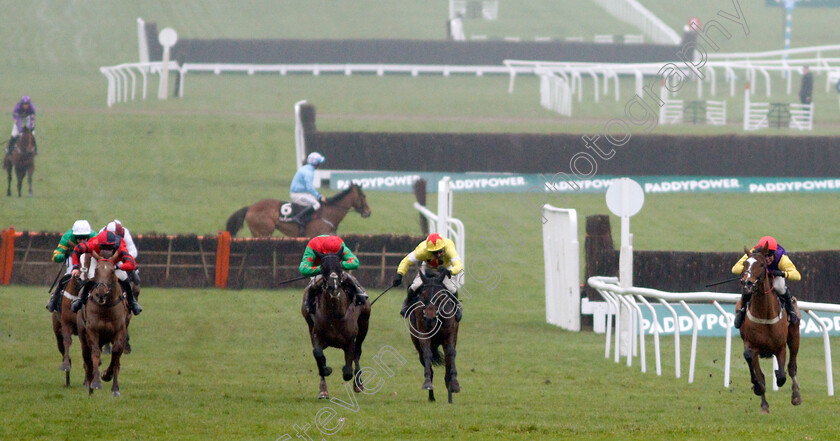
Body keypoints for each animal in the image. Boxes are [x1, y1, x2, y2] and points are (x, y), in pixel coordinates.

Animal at [78, 254, 130, 396]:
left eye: (112, 271)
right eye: (96, 271)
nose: (101, 293)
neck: (106, 308)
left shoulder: (120, 332)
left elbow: (116, 353)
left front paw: (112, 383)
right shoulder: (93, 331)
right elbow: (95, 353)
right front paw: (96, 382)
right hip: (83, 337)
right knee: (87, 358)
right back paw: (90, 387)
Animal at [300, 251, 370, 398]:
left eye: (339, 267)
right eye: (323, 268)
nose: (334, 287)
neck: (335, 315)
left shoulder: (350, 340)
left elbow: (348, 369)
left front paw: (353, 378)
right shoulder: (316, 334)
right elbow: (318, 354)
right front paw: (326, 371)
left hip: (364, 324)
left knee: (358, 351)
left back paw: (358, 383)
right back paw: (323, 389)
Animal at [406, 268, 460, 402]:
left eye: (440, 297)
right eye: (423, 295)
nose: (430, 319)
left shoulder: (450, 334)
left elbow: (451, 353)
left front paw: (455, 384)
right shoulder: (423, 335)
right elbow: (427, 354)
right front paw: (427, 383)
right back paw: (431, 396)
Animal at [740, 244, 804, 412]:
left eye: (762, 264)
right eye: (745, 264)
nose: (747, 283)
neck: (765, 314)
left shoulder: (780, 347)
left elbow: (782, 375)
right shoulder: (751, 345)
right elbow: (752, 363)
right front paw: (758, 387)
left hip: (794, 336)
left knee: (792, 367)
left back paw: (796, 396)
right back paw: (764, 404)